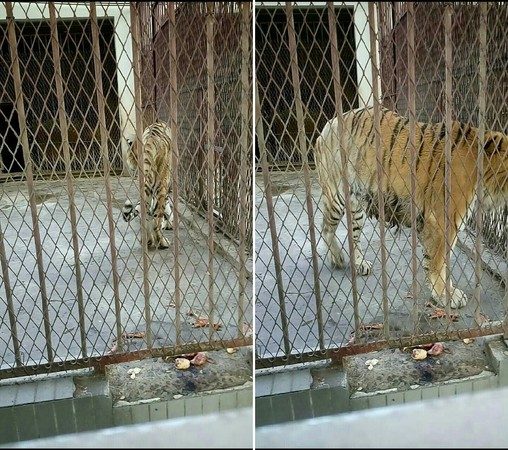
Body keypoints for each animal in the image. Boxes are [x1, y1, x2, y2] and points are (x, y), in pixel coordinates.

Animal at [122, 121, 174, 250]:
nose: (130, 166)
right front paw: (169, 223)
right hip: (160, 185)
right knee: (156, 221)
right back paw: (162, 242)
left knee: (144, 214)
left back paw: (147, 240)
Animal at [314, 106, 508, 310]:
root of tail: (328, 124)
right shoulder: (442, 220)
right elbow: (440, 260)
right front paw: (445, 294)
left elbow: (435, 258)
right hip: (336, 193)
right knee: (326, 228)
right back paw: (337, 258)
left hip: (357, 204)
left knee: (354, 236)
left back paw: (360, 264)